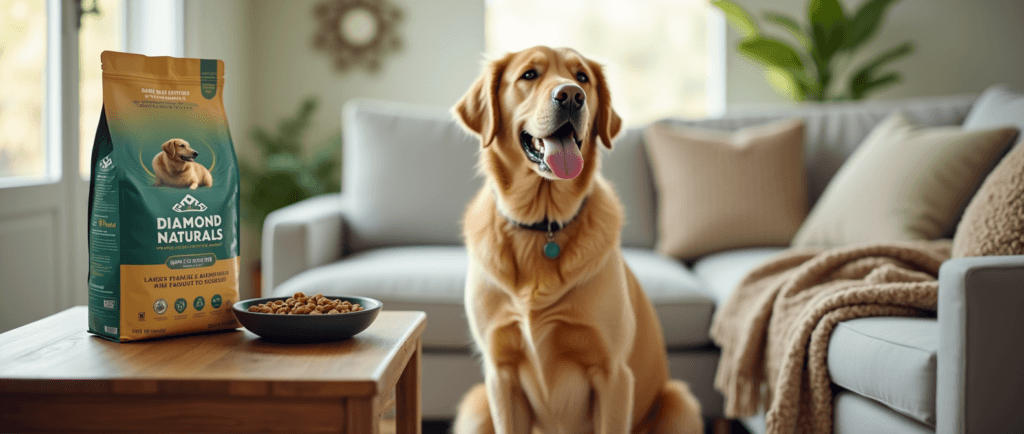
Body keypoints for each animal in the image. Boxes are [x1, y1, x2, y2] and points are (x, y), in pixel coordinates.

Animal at [454, 45, 704, 431]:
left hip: (680, 403)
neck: (543, 225)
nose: (571, 96)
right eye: (529, 74)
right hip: (476, 405)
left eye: (582, 77)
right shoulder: (500, 375)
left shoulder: (614, 375)